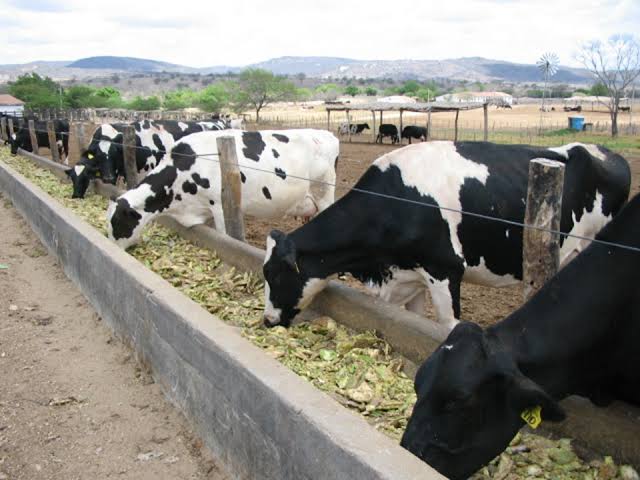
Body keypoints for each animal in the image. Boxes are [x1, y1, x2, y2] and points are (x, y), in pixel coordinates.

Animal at [107, 129, 339, 249]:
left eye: (116, 222)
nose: (112, 246)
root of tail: (327, 134)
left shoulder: (219, 206)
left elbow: (226, 238)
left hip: (324, 194)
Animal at [261, 141, 630, 329]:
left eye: (275, 275)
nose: (267, 320)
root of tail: (605, 152)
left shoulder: (445, 271)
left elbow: (447, 328)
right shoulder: (408, 277)